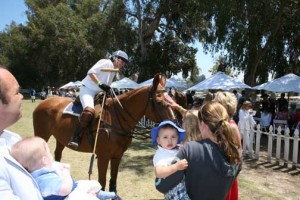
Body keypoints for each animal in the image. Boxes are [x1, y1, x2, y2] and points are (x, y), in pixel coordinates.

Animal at [32, 74, 176, 192]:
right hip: (42, 135)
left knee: (57, 155)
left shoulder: (117, 156)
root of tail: (42, 103)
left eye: (171, 99)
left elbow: (113, 181)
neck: (117, 118)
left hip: (61, 138)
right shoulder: (103, 156)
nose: (174, 123)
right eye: (159, 102)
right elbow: (102, 182)